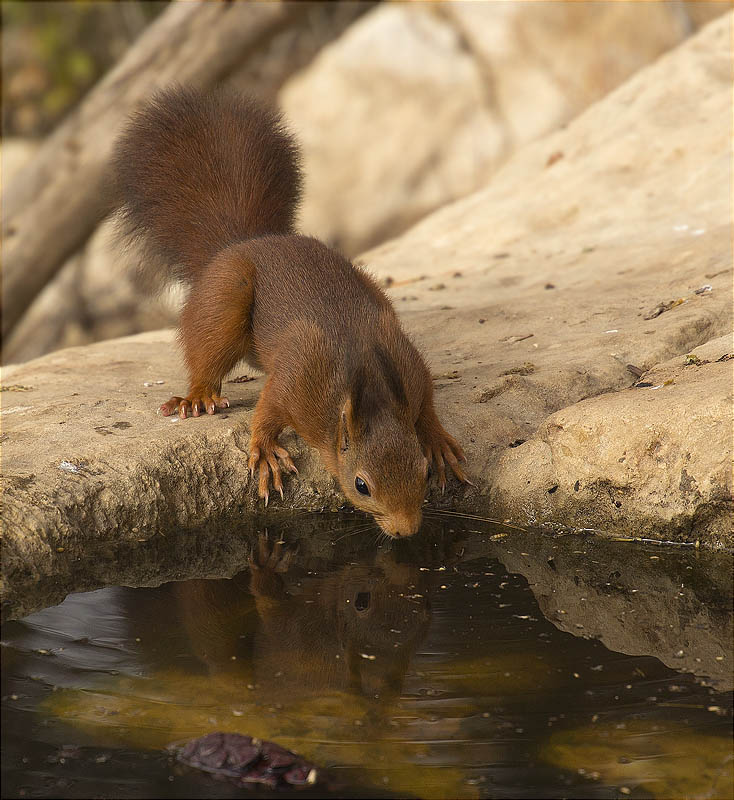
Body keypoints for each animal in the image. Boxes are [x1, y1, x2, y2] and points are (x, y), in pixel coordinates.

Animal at [115, 87, 472, 536]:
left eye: (422, 470)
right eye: (362, 485)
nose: (405, 530)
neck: (365, 380)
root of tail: (248, 242)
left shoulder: (408, 368)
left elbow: (425, 407)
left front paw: (438, 441)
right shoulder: (299, 378)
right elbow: (267, 410)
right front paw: (266, 451)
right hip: (226, 297)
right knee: (206, 356)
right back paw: (197, 397)